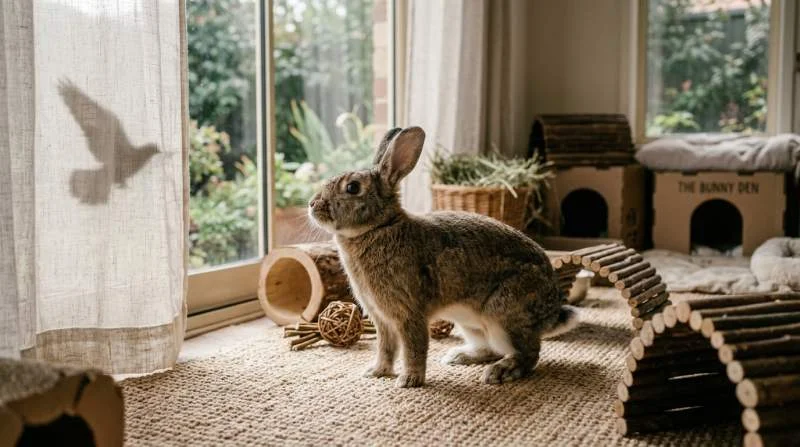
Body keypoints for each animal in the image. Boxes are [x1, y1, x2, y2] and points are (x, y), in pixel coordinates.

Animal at [308, 126, 578, 388]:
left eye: (352, 187)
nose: (311, 204)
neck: (378, 227)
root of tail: (551, 313)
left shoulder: (409, 312)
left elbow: (414, 348)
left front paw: (409, 380)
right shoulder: (382, 319)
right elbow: (385, 348)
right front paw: (376, 372)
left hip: (504, 314)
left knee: (529, 353)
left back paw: (501, 371)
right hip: (471, 323)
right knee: (493, 348)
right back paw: (459, 356)